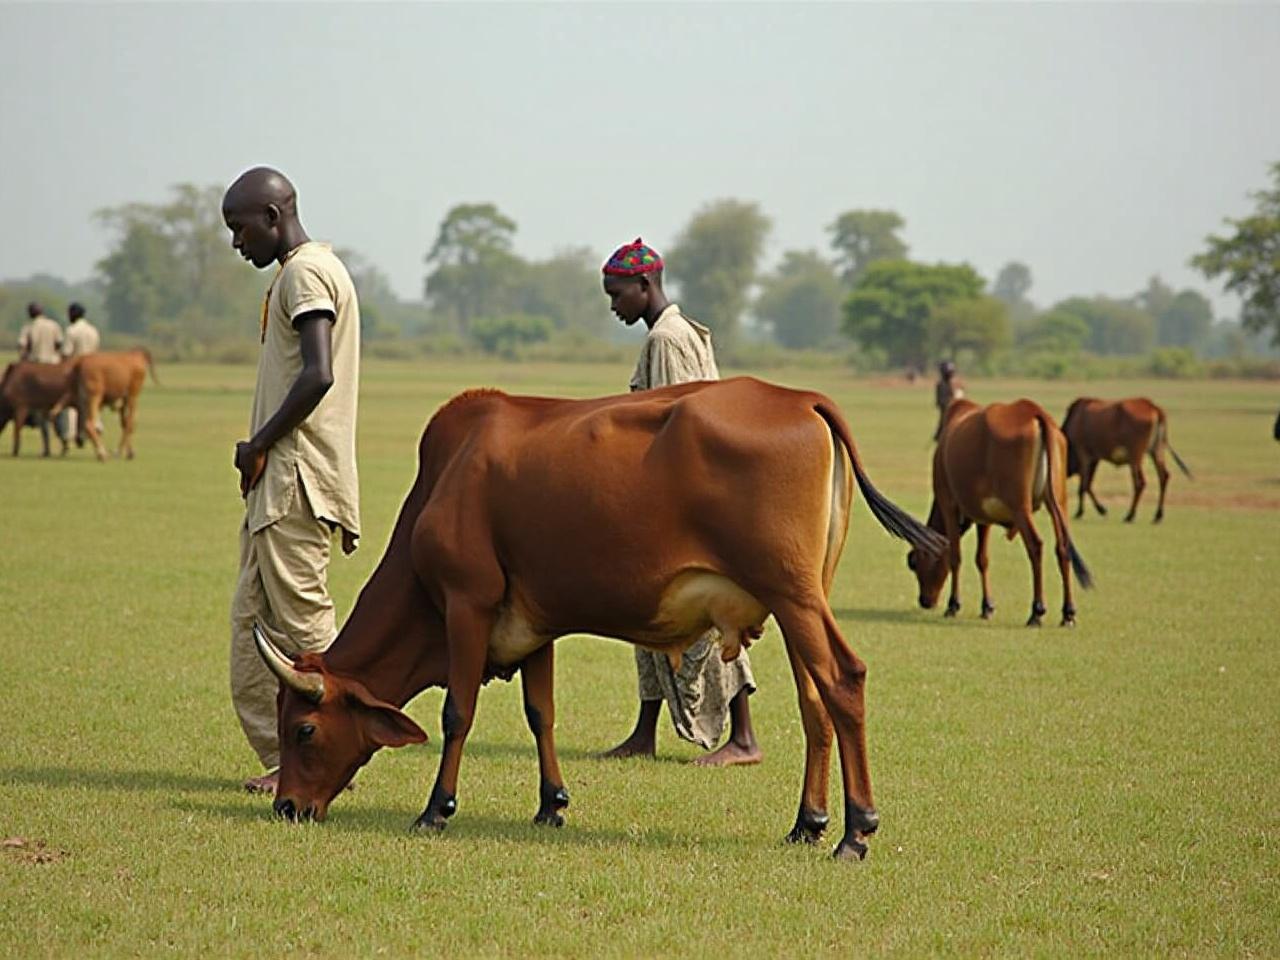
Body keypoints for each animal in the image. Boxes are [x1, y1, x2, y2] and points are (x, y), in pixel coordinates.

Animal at [252, 378, 952, 865]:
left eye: (305, 729)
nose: (287, 806)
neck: (447, 478)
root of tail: (801, 398)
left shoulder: (466, 604)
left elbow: (457, 712)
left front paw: (436, 809)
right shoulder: (533, 625)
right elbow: (541, 713)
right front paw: (551, 804)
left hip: (794, 595)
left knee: (844, 681)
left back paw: (856, 832)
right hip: (801, 599)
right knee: (815, 701)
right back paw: (808, 824)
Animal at [906, 399, 1095, 632]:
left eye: (914, 563)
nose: (925, 601)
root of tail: (1034, 411)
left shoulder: (948, 503)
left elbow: (955, 556)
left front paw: (953, 605)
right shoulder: (983, 517)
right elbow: (982, 559)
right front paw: (987, 607)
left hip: (1020, 507)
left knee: (1035, 545)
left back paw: (1036, 612)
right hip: (1058, 503)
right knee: (1062, 548)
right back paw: (1068, 613)